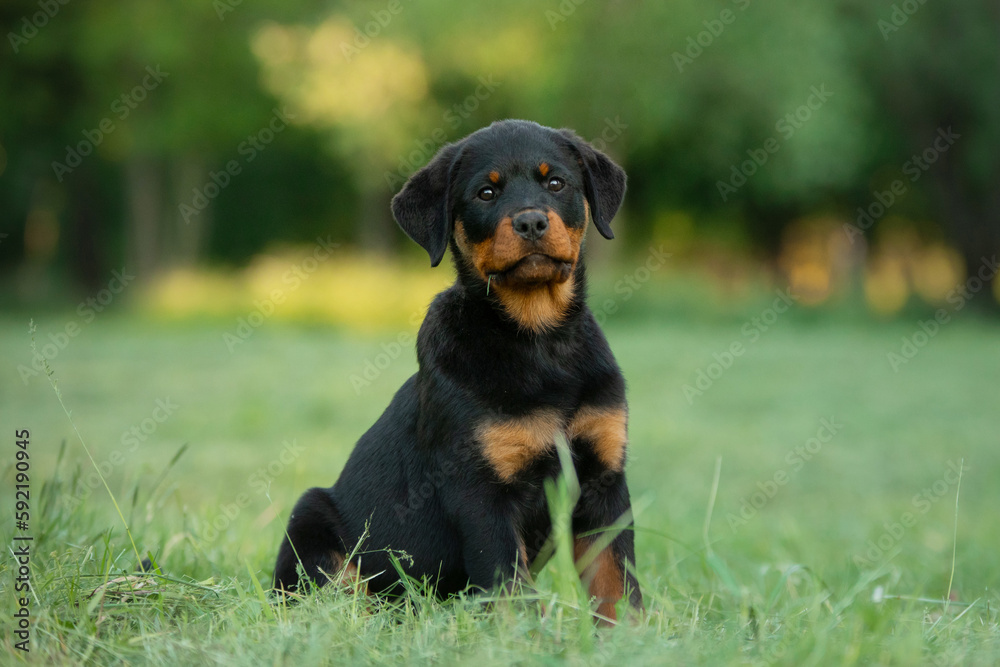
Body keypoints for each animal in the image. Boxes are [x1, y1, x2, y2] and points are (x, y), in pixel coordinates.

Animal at [274, 118, 644, 620]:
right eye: (485, 193)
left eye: (556, 183)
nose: (531, 221)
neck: (539, 338)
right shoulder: (480, 492)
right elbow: (511, 588)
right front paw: (526, 634)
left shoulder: (605, 482)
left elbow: (617, 583)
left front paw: (631, 633)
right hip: (310, 515)